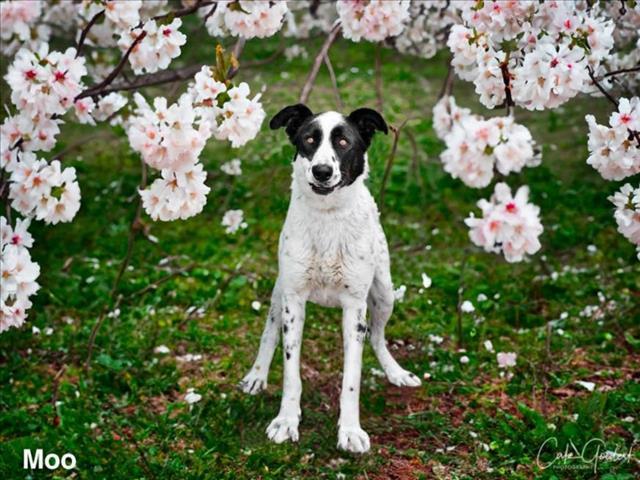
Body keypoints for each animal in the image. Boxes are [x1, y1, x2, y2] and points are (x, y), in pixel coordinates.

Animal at [239, 104, 420, 454]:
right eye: (309, 139)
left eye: (344, 142)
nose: (322, 171)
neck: (327, 217)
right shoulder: (294, 301)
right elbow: (291, 373)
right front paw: (286, 421)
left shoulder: (354, 306)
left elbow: (351, 379)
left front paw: (350, 431)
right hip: (279, 294)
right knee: (268, 332)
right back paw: (257, 374)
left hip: (384, 293)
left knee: (377, 336)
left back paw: (396, 372)